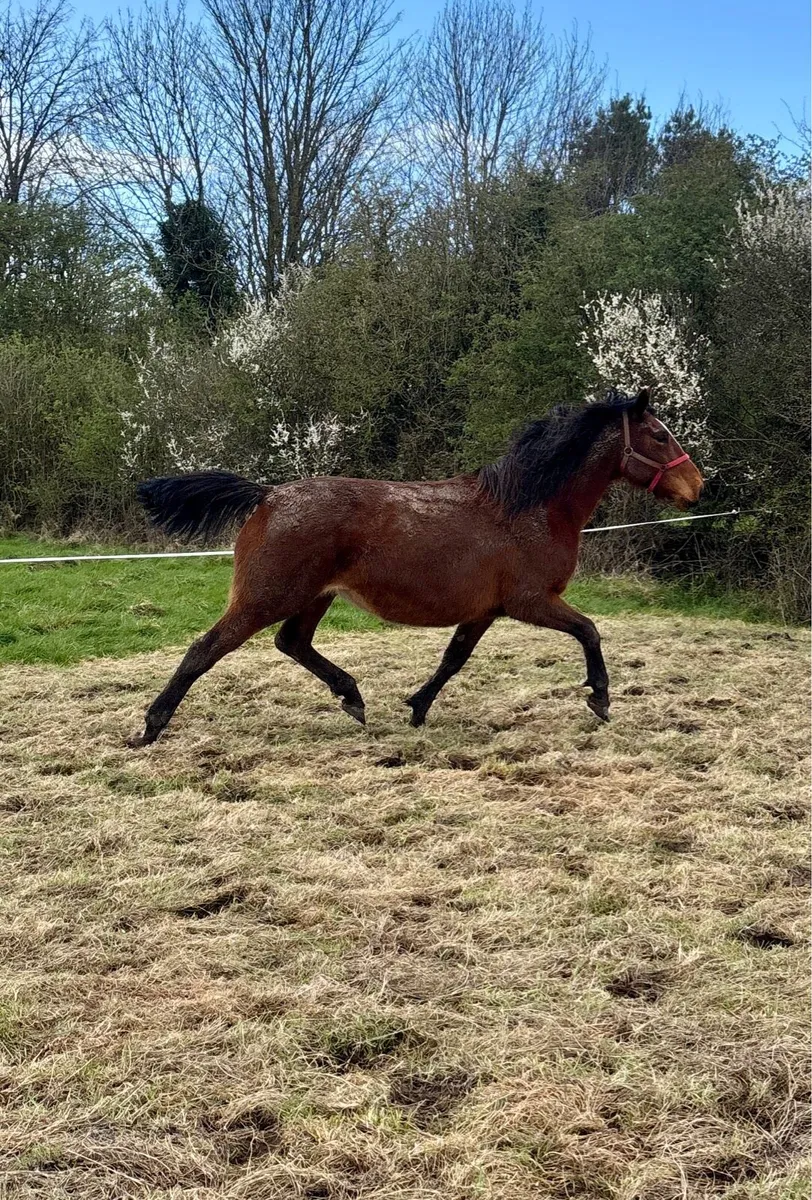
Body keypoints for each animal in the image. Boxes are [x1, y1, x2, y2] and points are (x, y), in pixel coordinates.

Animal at [130, 386, 703, 747]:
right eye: (658, 435)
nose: (697, 487)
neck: (529, 508)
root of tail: (267, 496)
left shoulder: (485, 610)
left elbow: (453, 660)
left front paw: (417, 708)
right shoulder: (532, 601)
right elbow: (589, 631)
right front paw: (601, 700)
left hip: (314, 597)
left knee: (292, 642)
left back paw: (353, 698)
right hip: (265, 597)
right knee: (205, 649)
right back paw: (151, 727)